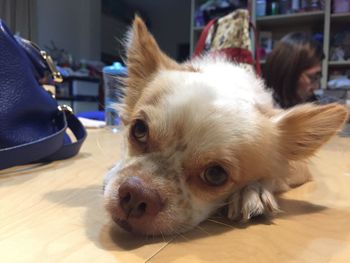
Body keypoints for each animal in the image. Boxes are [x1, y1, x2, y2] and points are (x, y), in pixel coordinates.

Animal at [102, 16, 348, 236]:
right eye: (139, 130)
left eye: (215, 174)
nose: (136, 195)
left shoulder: (299, 168)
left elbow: (274, 175)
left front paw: (252, 191)